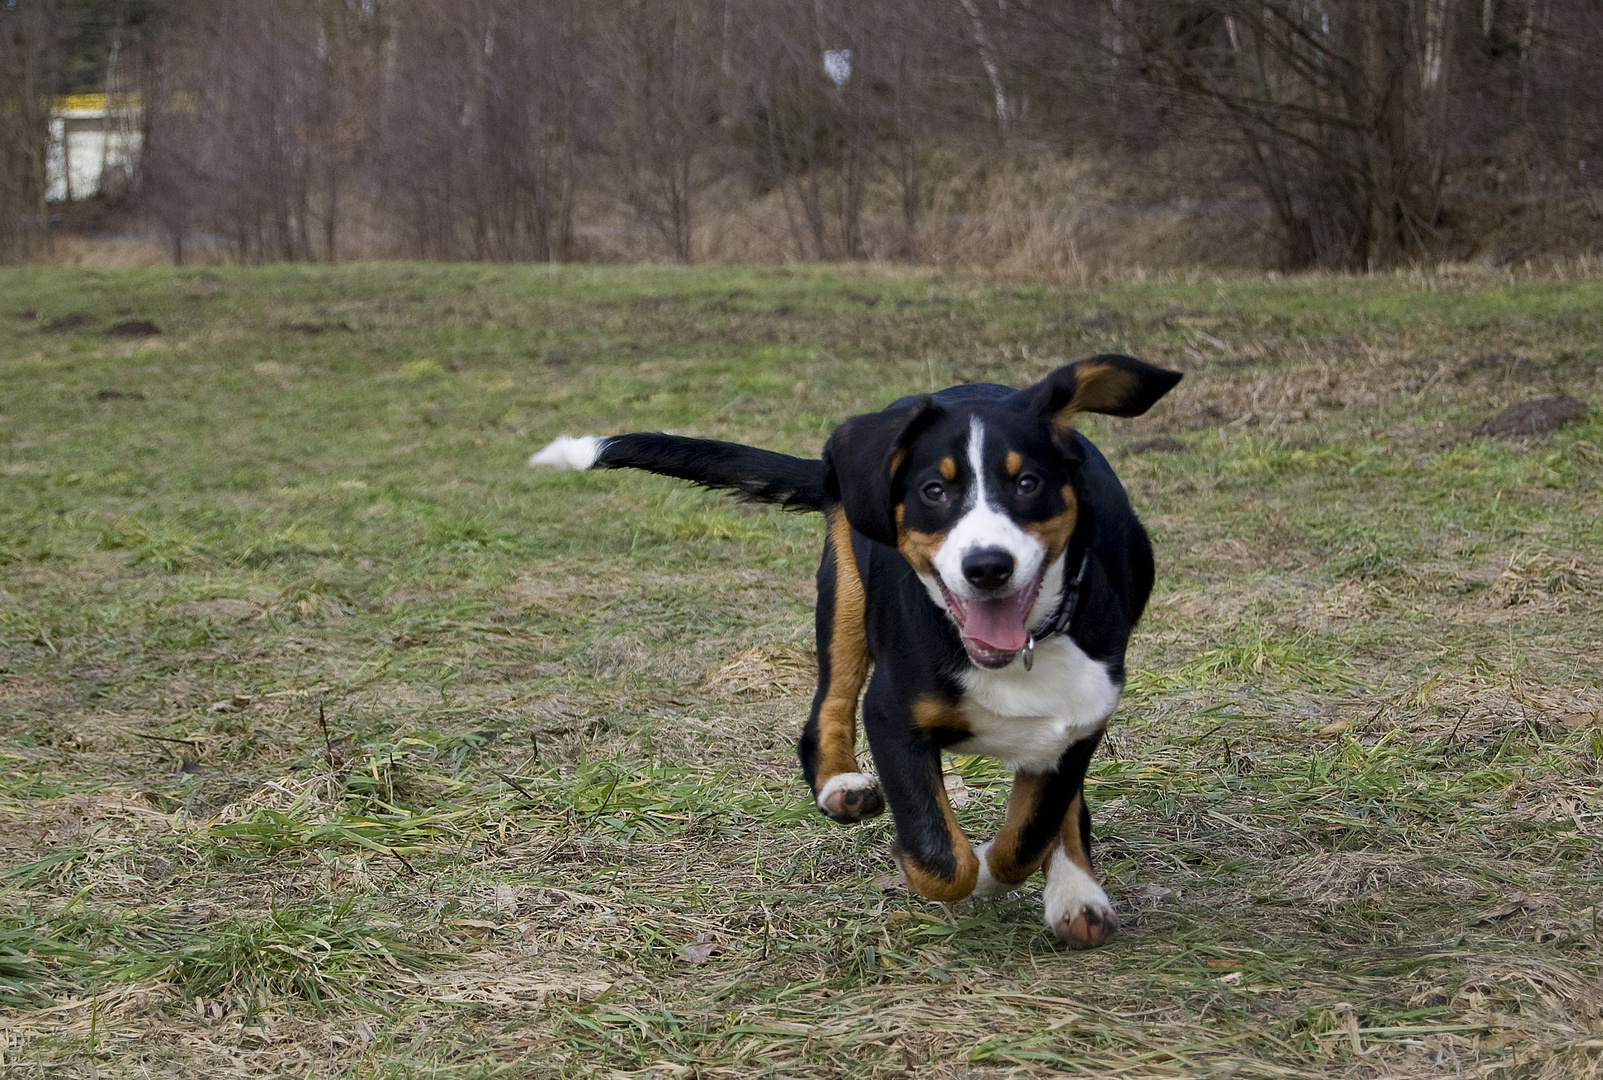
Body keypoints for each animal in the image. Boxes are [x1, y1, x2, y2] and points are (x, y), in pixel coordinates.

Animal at [532, 352, 1186, 942]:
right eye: (933, 490)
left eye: (1028, 483)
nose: (987, 567)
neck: (1014, 655)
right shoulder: (892, 717)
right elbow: (941, 857)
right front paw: (964, 872)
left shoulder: (1075, 727)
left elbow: (1030, 833)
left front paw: (1026, 873)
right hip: (847, 592)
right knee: (828, 706)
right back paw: (840, 787)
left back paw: (1078, 896)